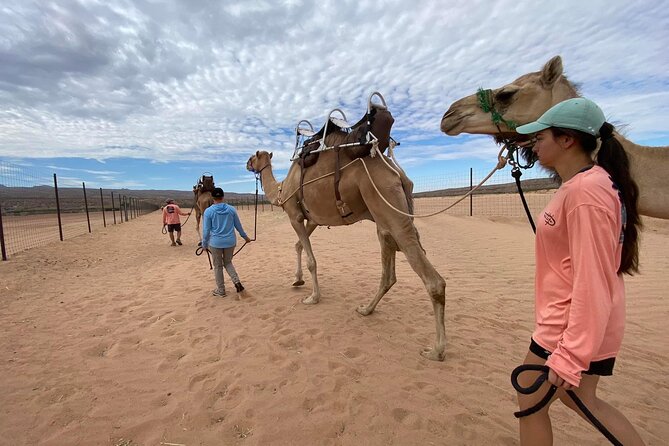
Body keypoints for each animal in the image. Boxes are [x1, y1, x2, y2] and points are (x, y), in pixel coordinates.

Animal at [246, 144, 447, 361]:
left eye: (252, 158)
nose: (247, 164)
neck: (282, 189)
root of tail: (397, 172)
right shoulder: (313, 219)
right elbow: (298, 245)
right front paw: (297, 280)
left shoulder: (295, 216)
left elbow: (311, 260)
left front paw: (313, 298)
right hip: (383, 219)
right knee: (389, 272)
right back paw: (366, 309)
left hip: (386, 201)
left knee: (432, 279)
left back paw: (436, 351)